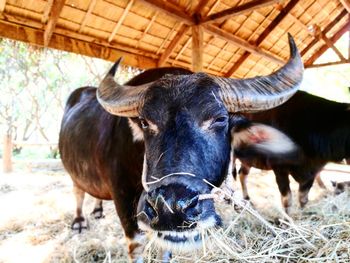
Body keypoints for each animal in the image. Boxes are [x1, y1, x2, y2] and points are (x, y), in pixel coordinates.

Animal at [58, 35, 302, 262]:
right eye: (145, 122)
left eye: (220, 119)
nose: (170, 208)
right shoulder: (124, 200)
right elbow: (136, 246)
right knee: (78, 189)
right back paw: (79, 221)